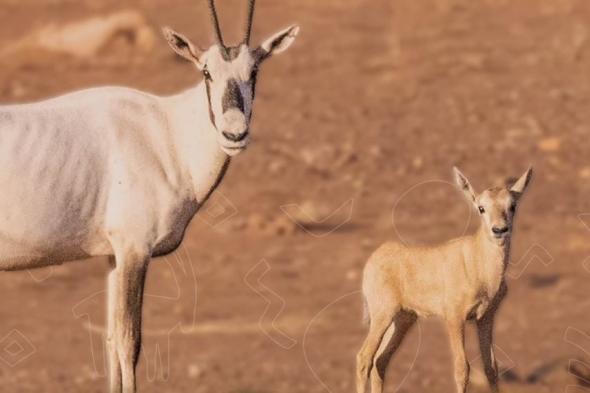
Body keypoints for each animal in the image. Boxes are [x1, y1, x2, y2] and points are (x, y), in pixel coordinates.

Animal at [0, 1, 298, 390]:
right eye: (206, 72)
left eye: (255, 70)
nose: (234, 134)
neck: (168, 132)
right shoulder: (135, 250)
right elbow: (130, 342)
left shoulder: (113, 256)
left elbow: (111, 340)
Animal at [356, 166, 536, 392]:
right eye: (481, 208)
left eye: (512, 205)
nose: (499, 230)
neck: (478, 260)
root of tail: (375, 257)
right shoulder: (454, 318)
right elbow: (462, 369)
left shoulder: (485, 318)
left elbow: (491, 368)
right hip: (382, 315)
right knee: (364, 358)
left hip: (402, 319)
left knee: (380, 360)